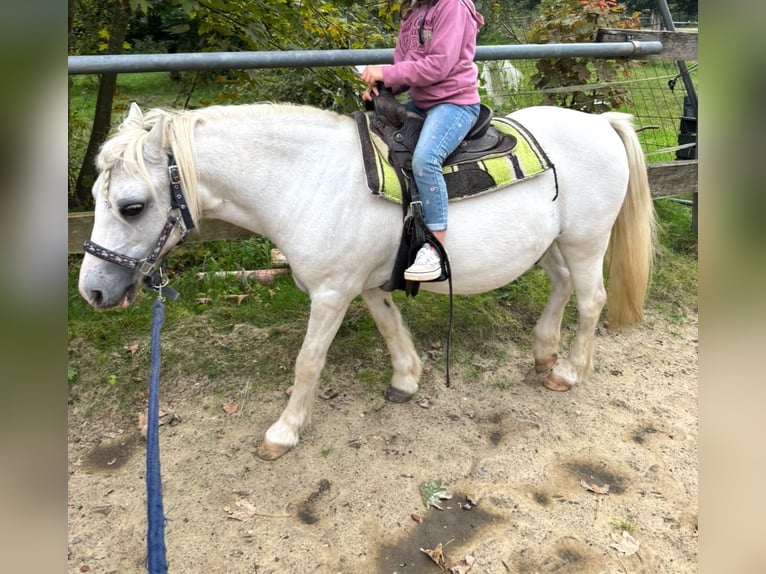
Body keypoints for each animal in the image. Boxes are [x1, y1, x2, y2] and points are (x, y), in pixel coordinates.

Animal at [79, 103, 656, 462]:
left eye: (132, 206)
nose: (93, 292)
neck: (308, 180)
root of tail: (600, 122)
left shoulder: (331, 292)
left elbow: (309, 361)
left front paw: (284, 431)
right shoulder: (366, 281)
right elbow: (388, 324)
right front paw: (407, 377)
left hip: (586, 241)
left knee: (592, 299)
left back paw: (569, 372)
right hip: (553, 244)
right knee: (561, 286)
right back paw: (543, 354)